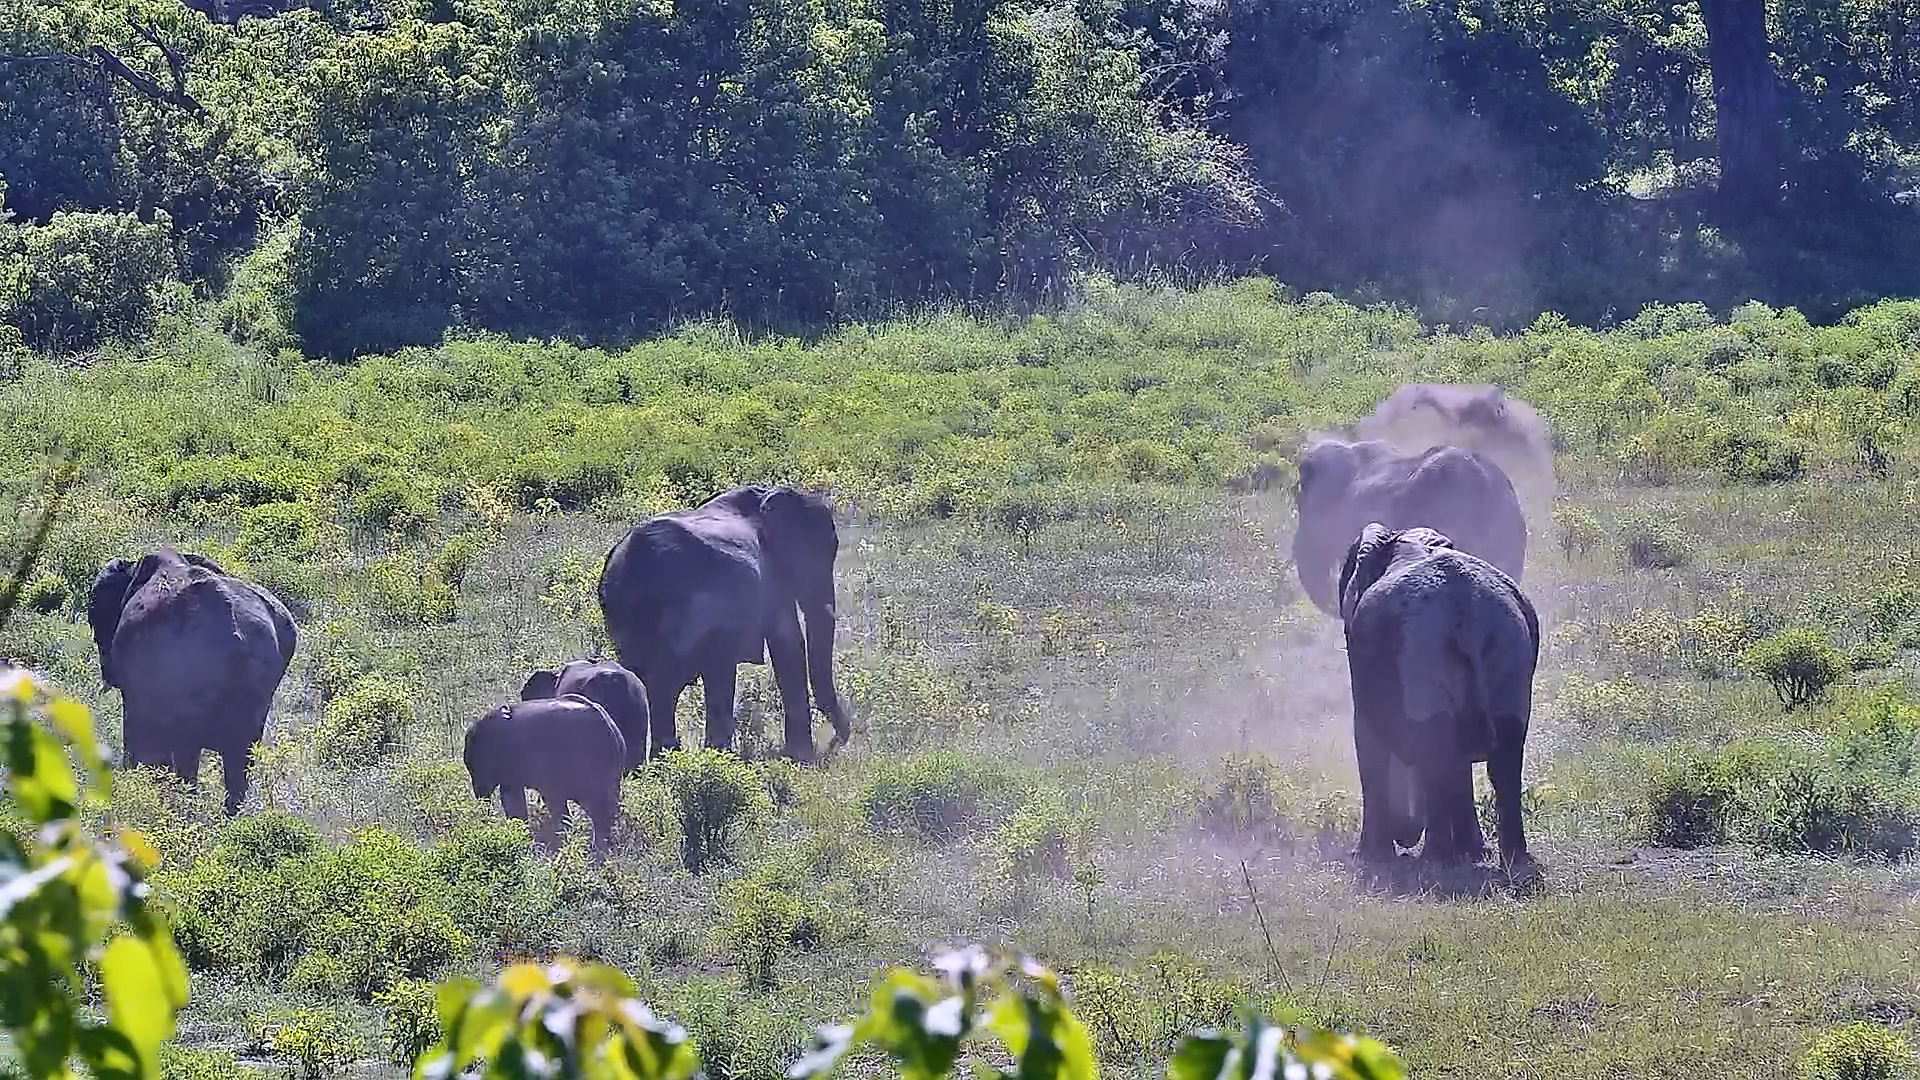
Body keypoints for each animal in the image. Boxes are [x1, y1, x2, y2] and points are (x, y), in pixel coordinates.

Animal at [596, 484, 851, 764]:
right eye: (824, 551)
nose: (836, 742)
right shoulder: (773, 575)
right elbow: (788, 643)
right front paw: (801, 758)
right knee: (692, 677)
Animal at [1336, 523, 1540, 870]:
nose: (1406, 835)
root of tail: (1466, 612)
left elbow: (1367, 740)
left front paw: (1369, 859)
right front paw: (1473, 853)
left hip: (1421, 650)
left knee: (1435, 751)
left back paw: (1436, 858)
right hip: (1509, 646)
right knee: (1502, 757)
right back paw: (1513, 861)